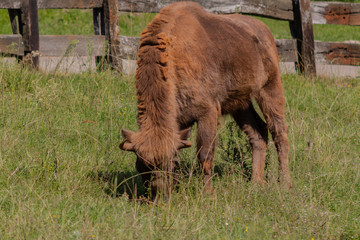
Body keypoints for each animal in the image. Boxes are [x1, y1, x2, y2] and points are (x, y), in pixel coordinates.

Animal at [120, 1, 292, 200]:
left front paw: (208, 192)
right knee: (258, 132)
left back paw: (284, 182)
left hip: (270, 88)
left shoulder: (207, 113)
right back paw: (256, 182)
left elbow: (204, 155)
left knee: (279, 133)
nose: (159, 194)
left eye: (170, 163)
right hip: (241, 104)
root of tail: (264, 30)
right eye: (141, 165)